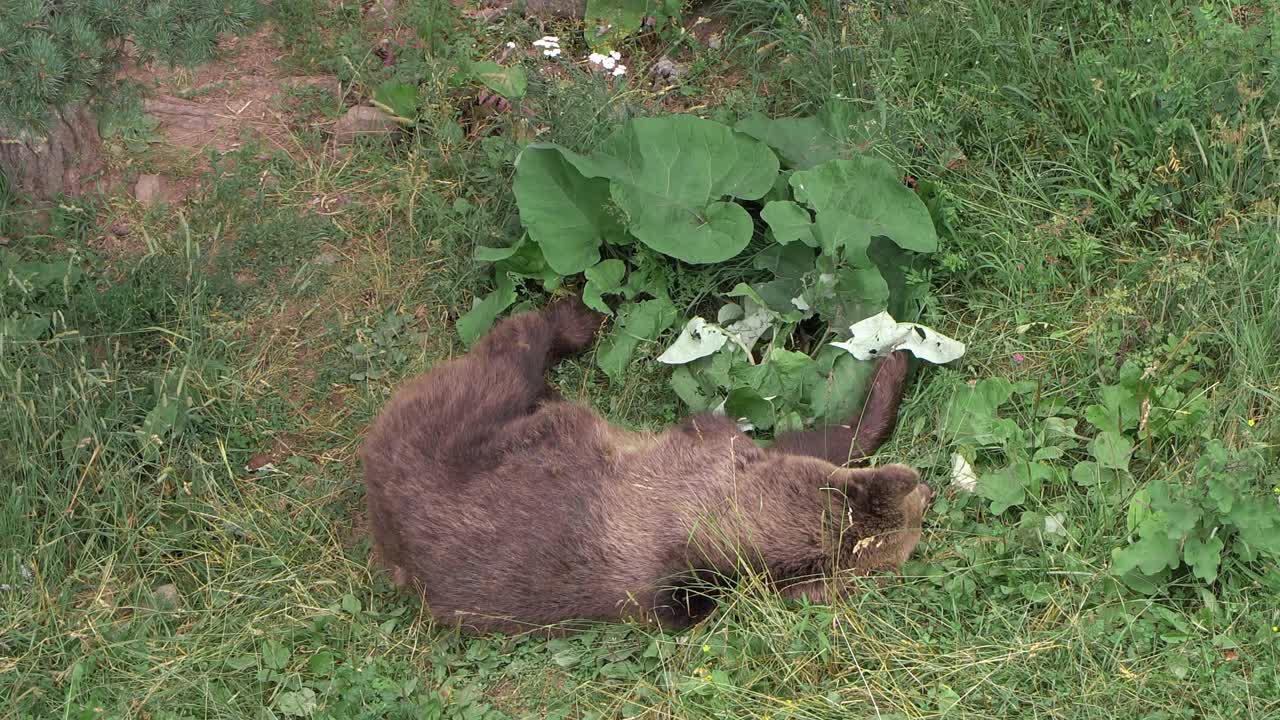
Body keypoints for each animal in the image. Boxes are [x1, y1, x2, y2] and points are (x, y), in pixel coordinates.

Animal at [360, 294, 931, 630]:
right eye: (915, 514)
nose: (925, 490)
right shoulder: (708, 448)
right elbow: (832, 437)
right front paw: (896, 361)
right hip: (460, 419)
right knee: (513, 352)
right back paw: (578, 319)